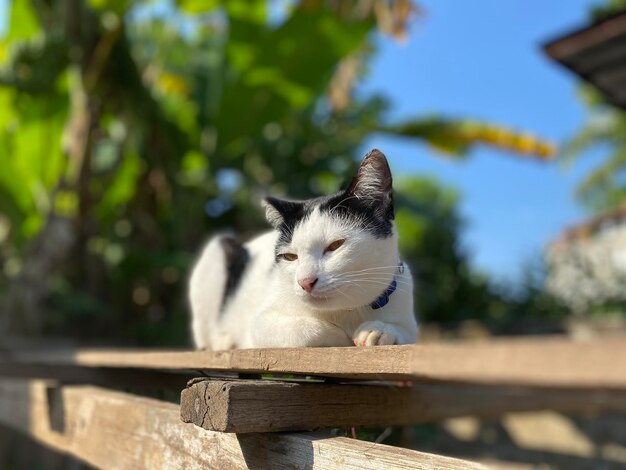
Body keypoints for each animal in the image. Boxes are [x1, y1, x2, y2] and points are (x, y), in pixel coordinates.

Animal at [188, 150, 416, 348]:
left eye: (335, 245)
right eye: (290, 256)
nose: (305, 282)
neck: (346, 312)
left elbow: (403, 331)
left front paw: (378, 331)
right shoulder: (261, 323)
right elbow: (304, 330)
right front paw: (340, 336)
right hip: (218, 251)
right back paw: (224, 341)